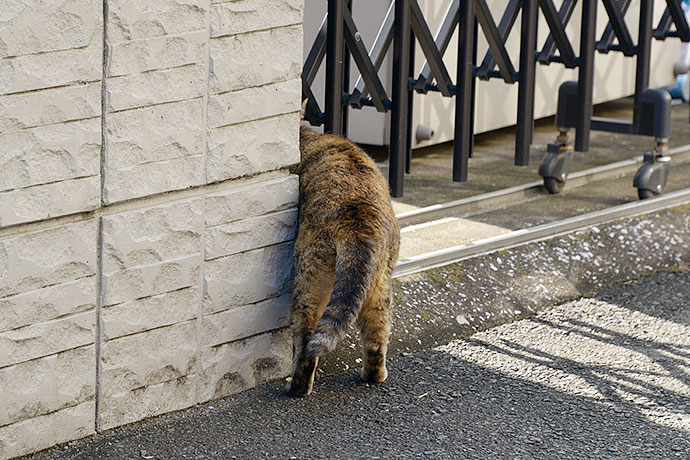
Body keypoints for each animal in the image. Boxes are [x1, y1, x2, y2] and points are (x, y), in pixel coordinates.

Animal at [284, 125, 400, 396]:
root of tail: (360, 222)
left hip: (310, 276)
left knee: (306, 334)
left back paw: (297, 387)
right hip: (380, 286)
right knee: (377, 332)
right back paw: (374, 375)